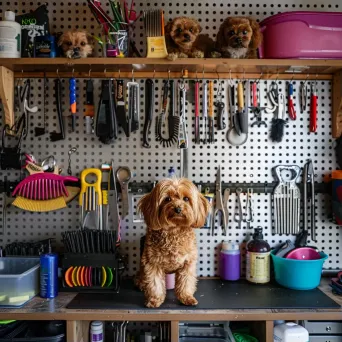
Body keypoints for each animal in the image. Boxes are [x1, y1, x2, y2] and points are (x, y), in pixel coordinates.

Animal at [135, 178, 210, 308]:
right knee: (142, 276)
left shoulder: (188, 264)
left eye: (186, 199)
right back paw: (141, 283)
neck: (173, 231)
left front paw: (187, 297)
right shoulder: (152, 263)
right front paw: (154, 300)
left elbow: (186, 283)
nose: (178, 209)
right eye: (167, 199)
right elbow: (155, 284)